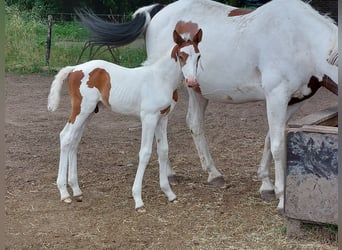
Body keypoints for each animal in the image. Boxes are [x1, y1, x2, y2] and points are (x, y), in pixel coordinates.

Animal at [48, 21, 203, 209]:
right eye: (181, 55)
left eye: (198, 56)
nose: (192, 82)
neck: (161, 79)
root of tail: (74, 69)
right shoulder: (149, 118)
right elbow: (145, 153)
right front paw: (138, 199)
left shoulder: (162, 118)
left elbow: (163, 151)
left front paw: (169, 193)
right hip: (81, 109)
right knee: (66, 137)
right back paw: (64, 192)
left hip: (89, 112)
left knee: (74, 141)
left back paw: (76, 190)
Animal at [79, 0, 338, 213]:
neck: (299, 37)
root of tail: (160, 10)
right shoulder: (276, 96)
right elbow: (277, 145)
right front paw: (282, 199)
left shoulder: (294, 100)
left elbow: (268, 138)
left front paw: (266, 184)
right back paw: (174, 175)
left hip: (196, 90)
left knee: (194, 123)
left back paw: (212, 174)